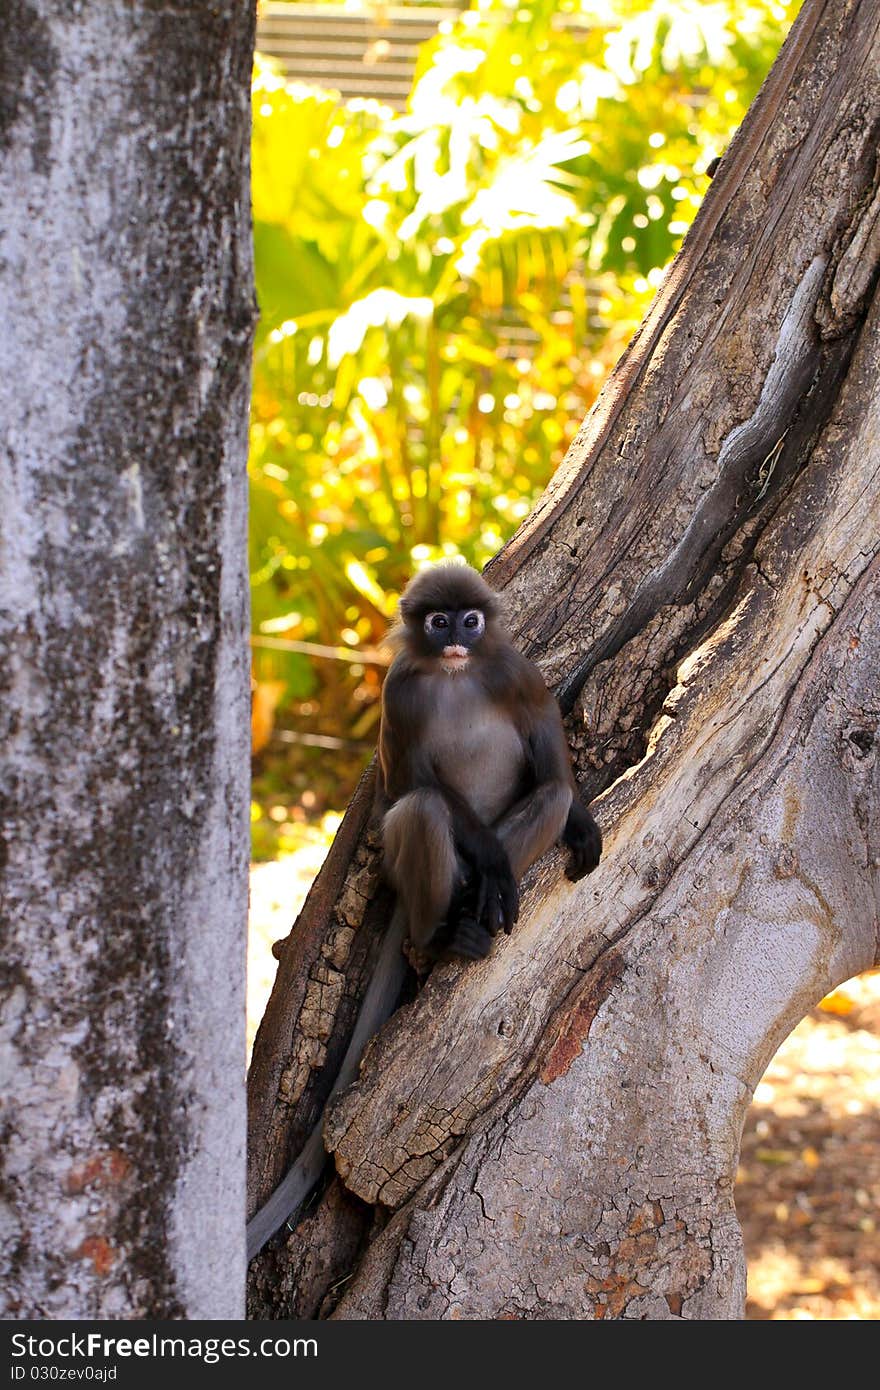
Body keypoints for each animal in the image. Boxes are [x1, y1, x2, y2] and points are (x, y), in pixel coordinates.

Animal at [246, 556, 597, 1262]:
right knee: (423, 809)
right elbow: (409, 782)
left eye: (472, 620)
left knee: (543, 795)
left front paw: (581, 825)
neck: (456, 675)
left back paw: (477, 921)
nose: (457, 636)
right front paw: (490, 857)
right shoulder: (399, 693)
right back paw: (444, 937)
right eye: (438, 622)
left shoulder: (514, 671)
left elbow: (553, 771)